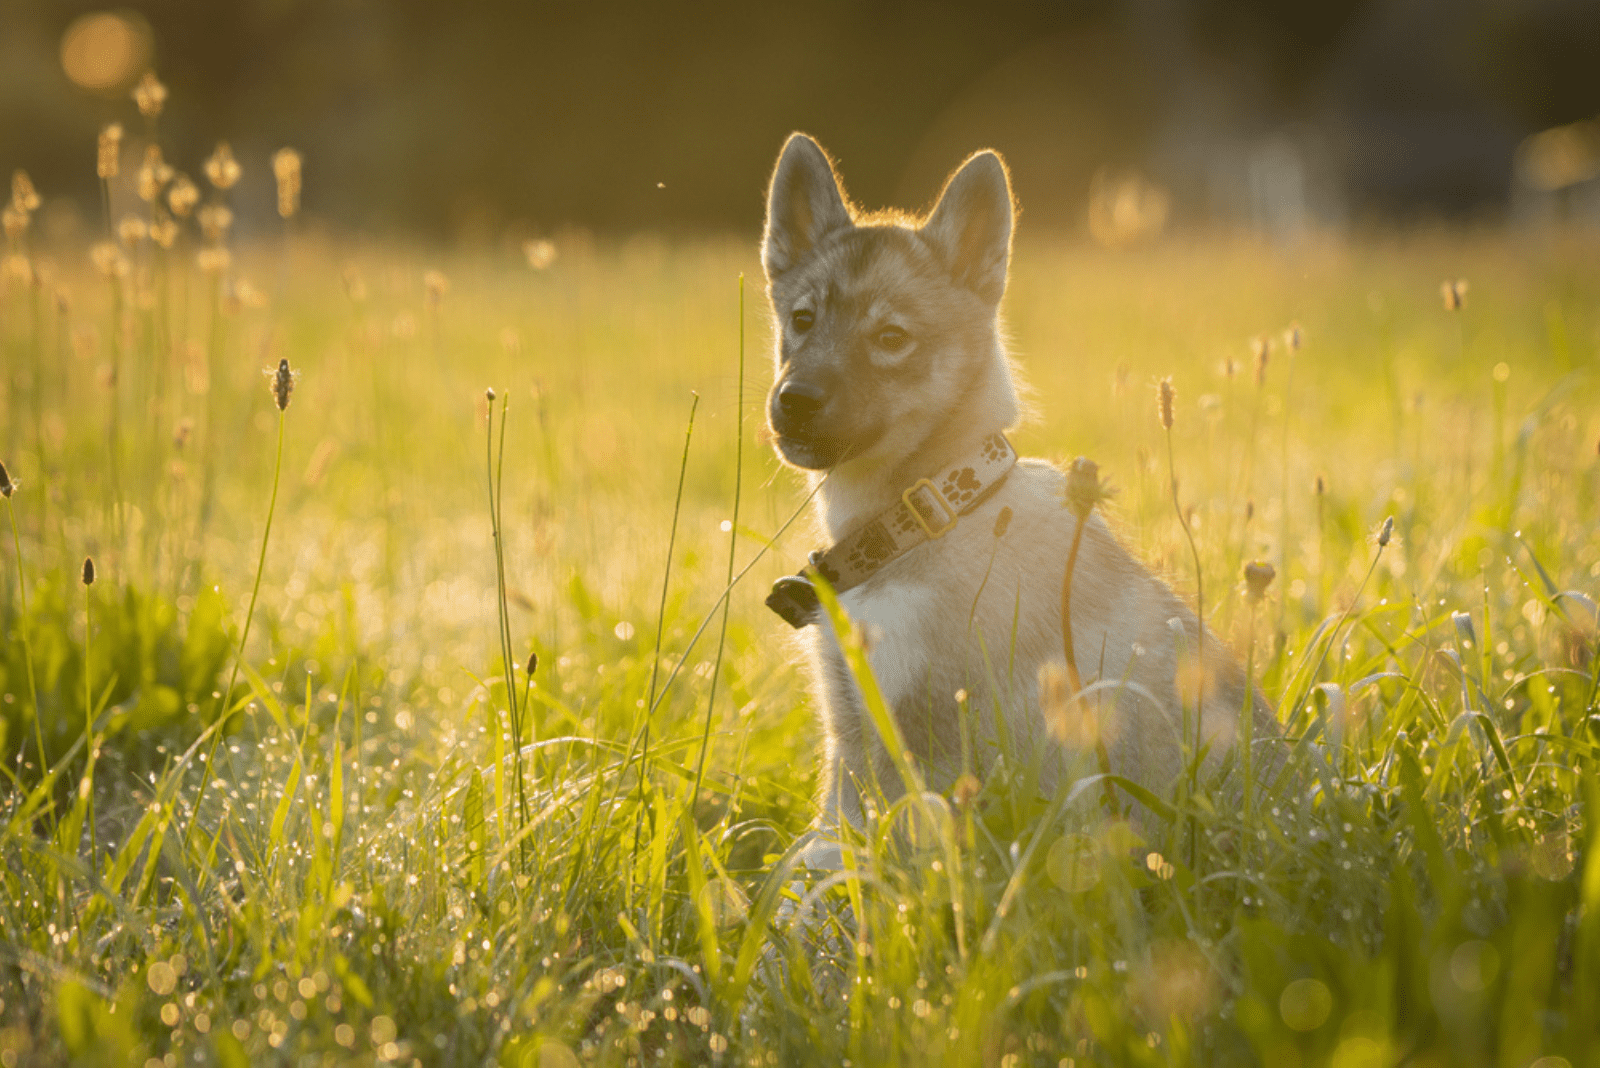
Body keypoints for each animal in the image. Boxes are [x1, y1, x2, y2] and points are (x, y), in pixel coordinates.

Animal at [758, 135, 1273, 869]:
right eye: (802, 320)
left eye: (891, 338)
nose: (794, 400)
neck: (923, 514)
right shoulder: (851, 732)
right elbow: (812, 858)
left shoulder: (923, 748)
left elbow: (839, 869)